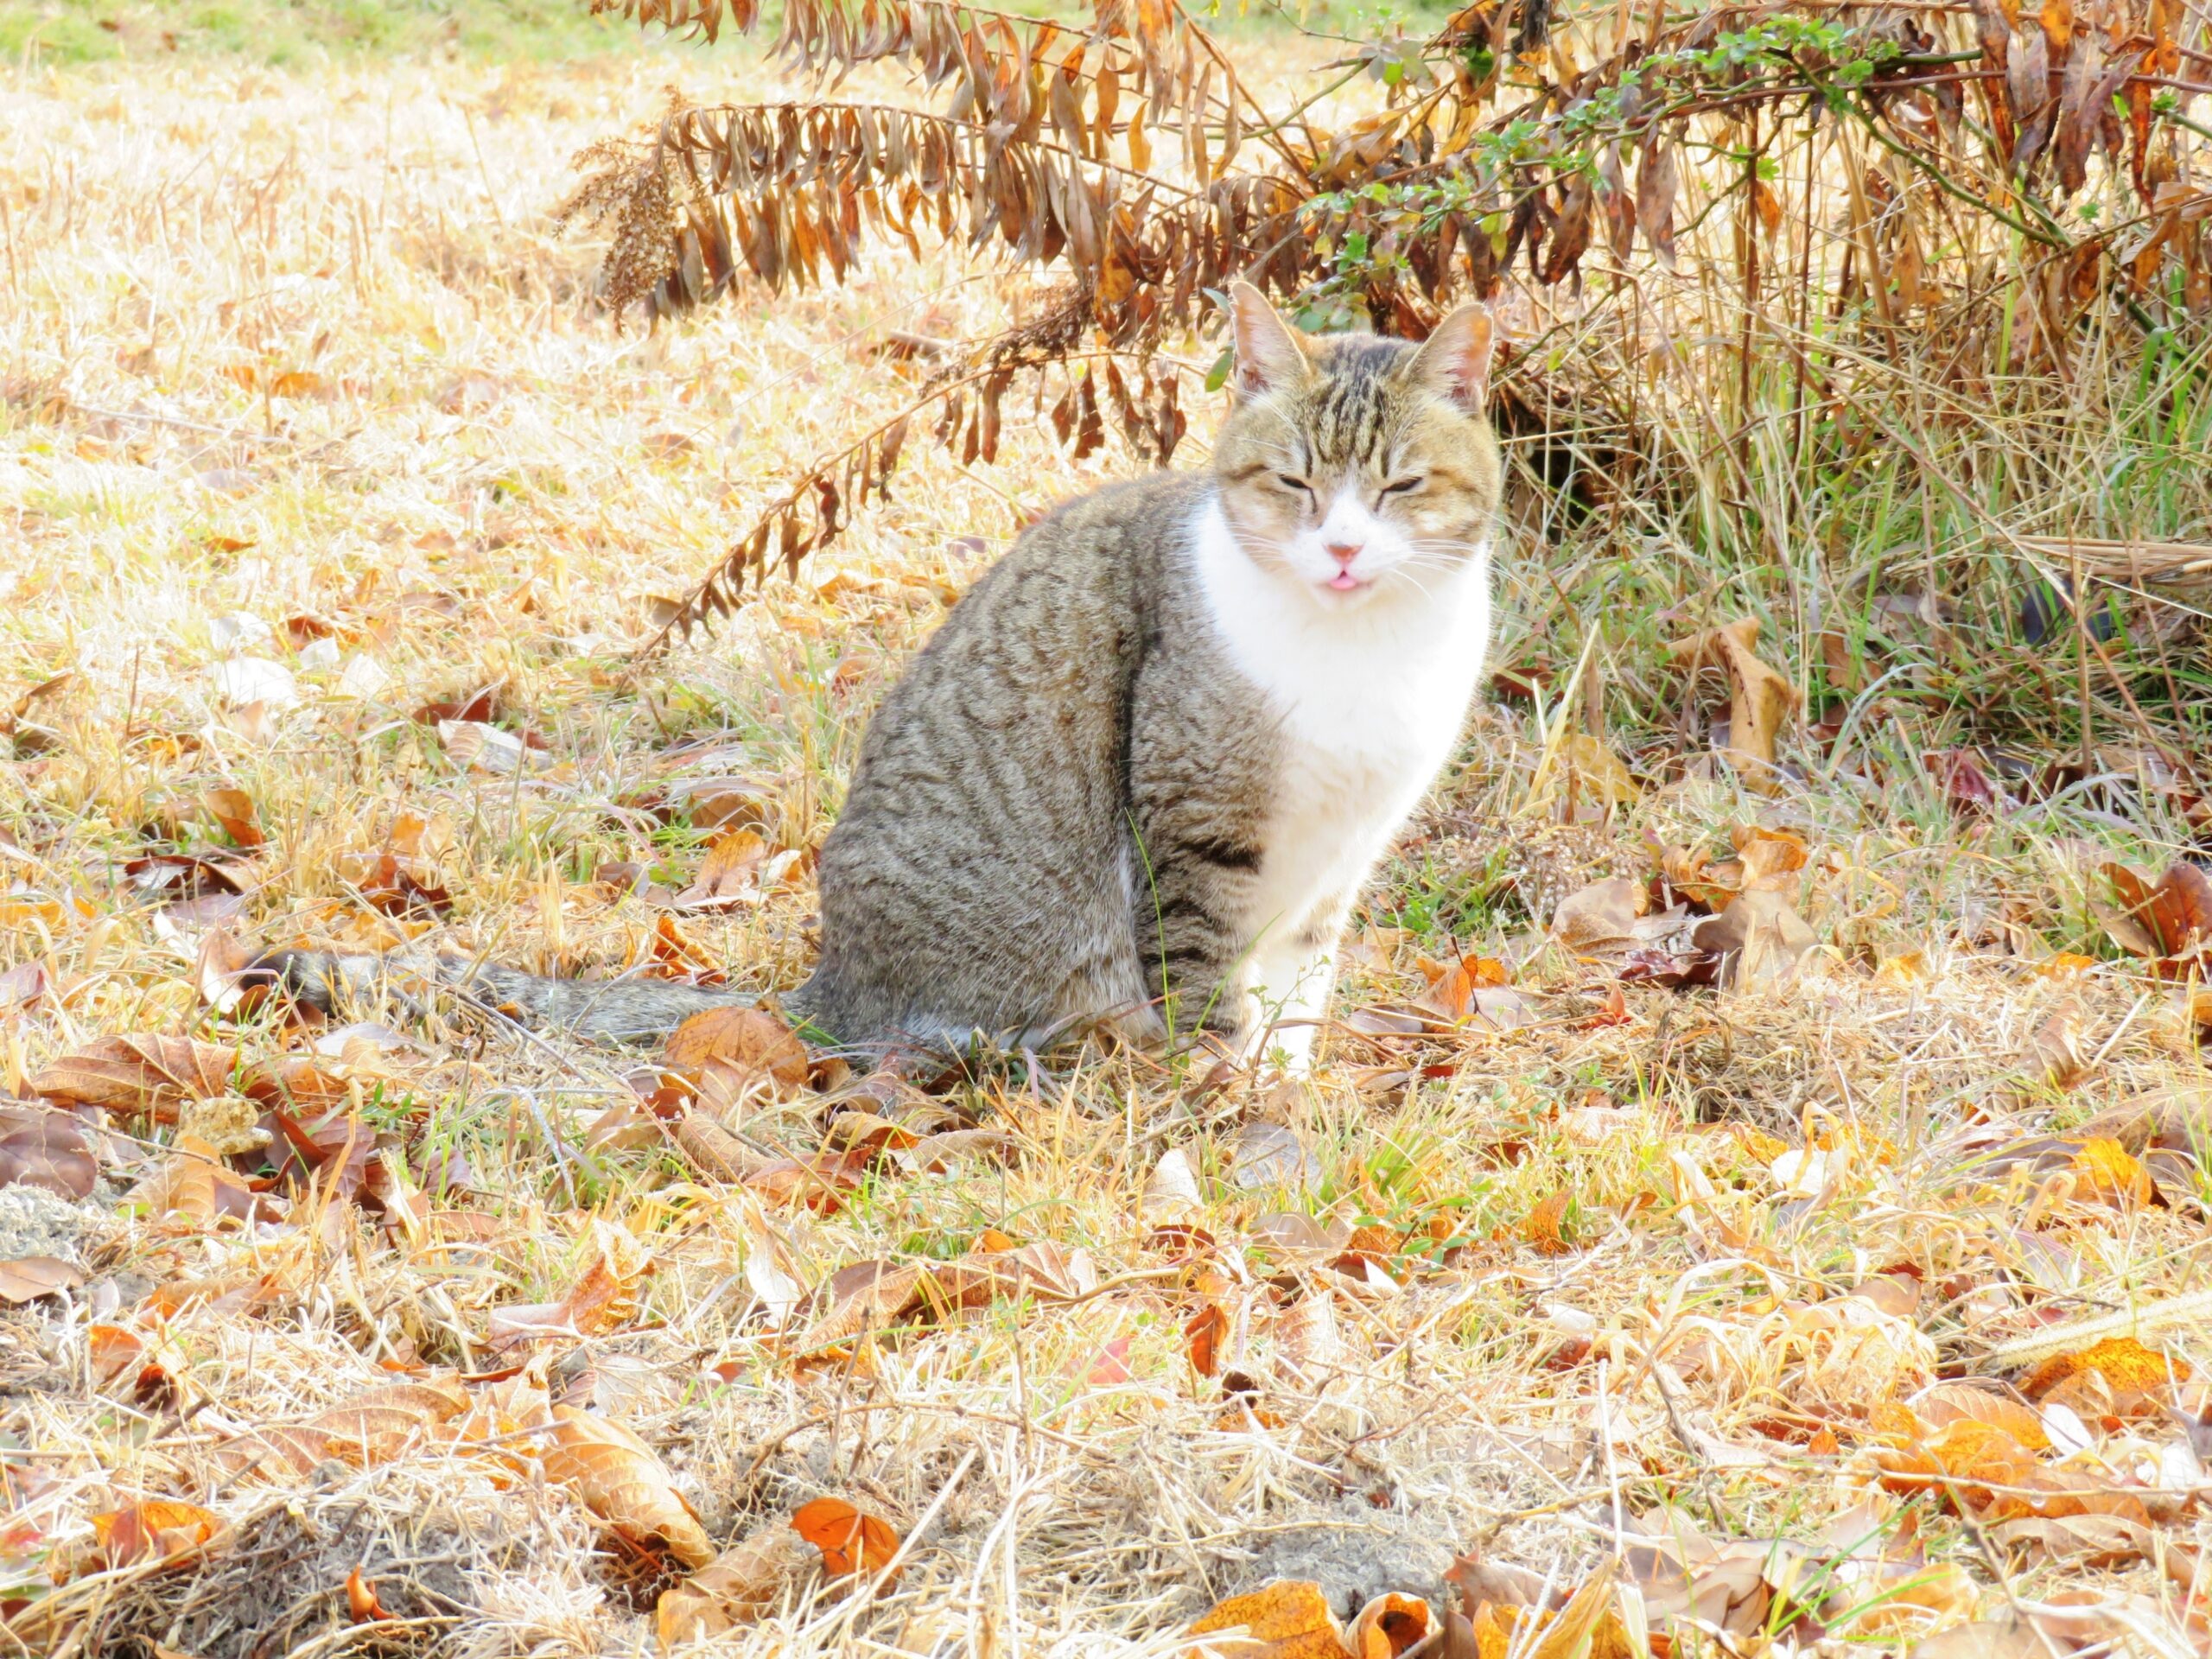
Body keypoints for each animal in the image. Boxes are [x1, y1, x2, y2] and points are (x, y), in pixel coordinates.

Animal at [263, 283, 1503, 1065]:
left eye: (1400, 487)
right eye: (1294, 482)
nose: (1341, 549)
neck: (1359, 646)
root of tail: (832, 981)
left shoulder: (1337, 861)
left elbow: (1297, 1003)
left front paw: (1285, 1105)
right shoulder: (1195, 827)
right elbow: (1207, 992)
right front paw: (1223, 1113)